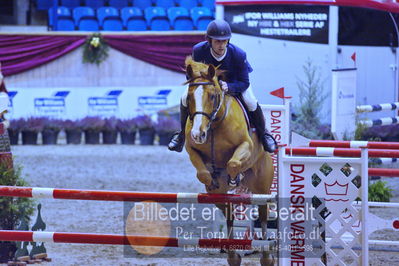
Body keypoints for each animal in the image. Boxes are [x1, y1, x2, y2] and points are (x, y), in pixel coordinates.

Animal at [184, 56, 276, 266]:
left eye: (212, 96)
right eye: (190, 97)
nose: (198, 134)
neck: (214, 124)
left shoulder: (245, 145)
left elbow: (233, 163)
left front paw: (235, 177)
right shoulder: (191, 149)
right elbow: (203, 173)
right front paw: (214, 179)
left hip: (262, 188)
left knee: (263, 214)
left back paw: (267, 257)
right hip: (223, 199)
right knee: (229, 213)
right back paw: (233, 254)